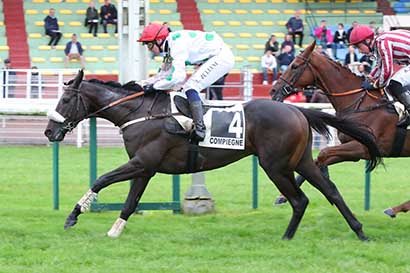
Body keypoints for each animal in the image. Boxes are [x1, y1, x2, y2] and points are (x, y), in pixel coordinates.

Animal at [44, 69, 382, 238]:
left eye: (64, 100)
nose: (49, 132)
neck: (140, 112)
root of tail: (297, 110)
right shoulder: (145, 167)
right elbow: (130, 201)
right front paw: (115, 230)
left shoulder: (142, 161)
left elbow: (101, 179)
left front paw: (73, 216)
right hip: (301, 161)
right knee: (331, 192)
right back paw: (359, 231)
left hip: (276, 165)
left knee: (300, 200)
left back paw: (287, 237)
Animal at [270, 39, 408, 215]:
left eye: (294, 66)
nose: (273, 90)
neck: (360, 103)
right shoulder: (353, 150)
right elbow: (318, 159)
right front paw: (282, 196)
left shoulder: (365, 148)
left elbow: (323, 154)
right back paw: (395, 209)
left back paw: (396, 209)